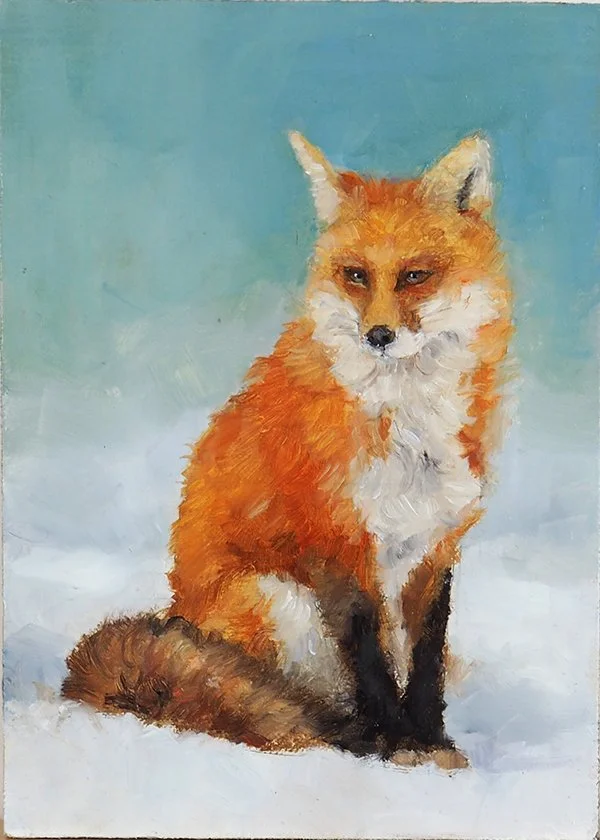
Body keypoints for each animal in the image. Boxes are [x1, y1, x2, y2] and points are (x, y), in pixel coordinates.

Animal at [63, 131, 513, 769]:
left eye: (414, 276)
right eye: (355, 275)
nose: (378, 336)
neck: (406, 427)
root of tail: (176, 617)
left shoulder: (435, 547)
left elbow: (426, 662)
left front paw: (431, 742)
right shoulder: (338, 547)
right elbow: (372, 663)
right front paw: (396, 744)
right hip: (277, 597)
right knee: (281, 704)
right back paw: (345, 732)